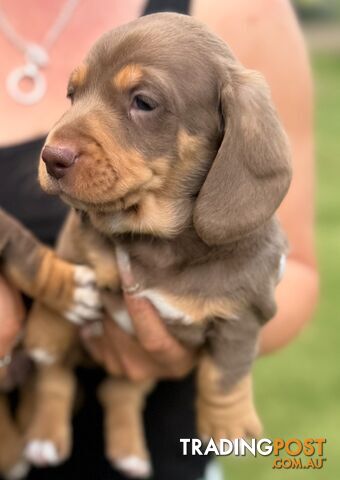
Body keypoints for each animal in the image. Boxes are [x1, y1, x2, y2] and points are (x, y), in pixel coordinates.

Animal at [23, 13, 290, 478]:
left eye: (143, 102)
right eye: (72, 95)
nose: (51, 157)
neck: (155, 238)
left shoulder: (244, 314)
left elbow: (225, 375)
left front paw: (229, 426)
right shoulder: (77, 237)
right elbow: (67, 268)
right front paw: (48, 324)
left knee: (118, 392)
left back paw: (128, 453)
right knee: (56, 379)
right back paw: (45, 437)